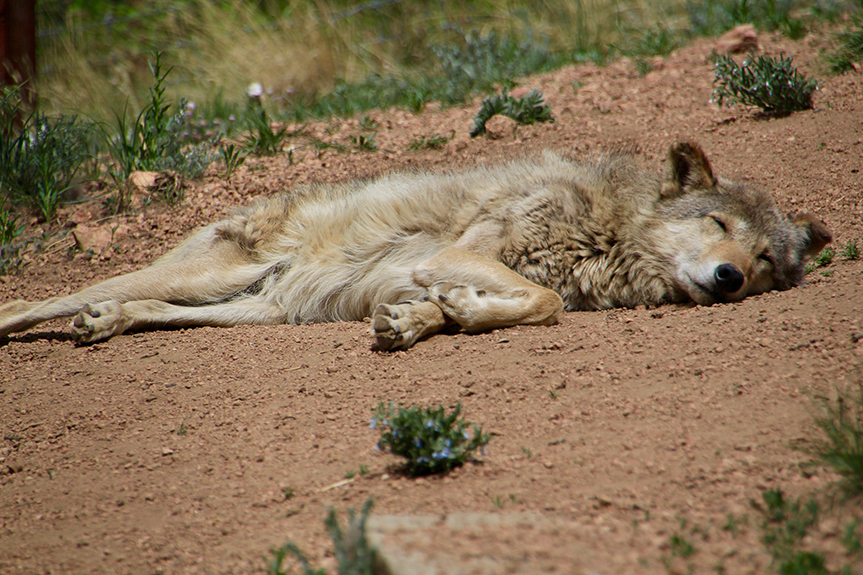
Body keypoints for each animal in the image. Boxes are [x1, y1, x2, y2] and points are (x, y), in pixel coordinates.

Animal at [1, 143, 836, 352]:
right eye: (718, 225)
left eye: (767, 261)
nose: (728, 277)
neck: (605, 232)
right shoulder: (457, 252)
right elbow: (542, 298)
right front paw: (452, 310)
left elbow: (518, 304)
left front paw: (434, 319)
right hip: (209, 273)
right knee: (38, 299)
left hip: (250, 310)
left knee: (142, 307)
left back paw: (105, 324)